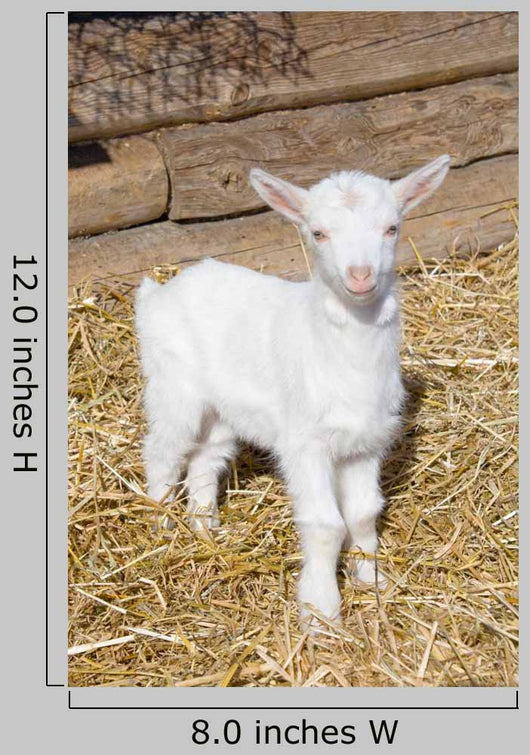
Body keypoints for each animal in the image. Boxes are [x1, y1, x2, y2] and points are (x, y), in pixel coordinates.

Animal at [136, 155, 450, 628]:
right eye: (317, 232)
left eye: (392, 228)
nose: (360, 276)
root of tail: (156, 293)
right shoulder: (305, 443)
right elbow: (325, 525)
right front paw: (321, 613)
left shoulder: (366, 442)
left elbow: (363, 514)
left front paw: (371, 579)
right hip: (174, 387)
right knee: (162, 454)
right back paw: (161, 528)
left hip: (222, 410)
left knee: (205, 460)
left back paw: (206, 528)